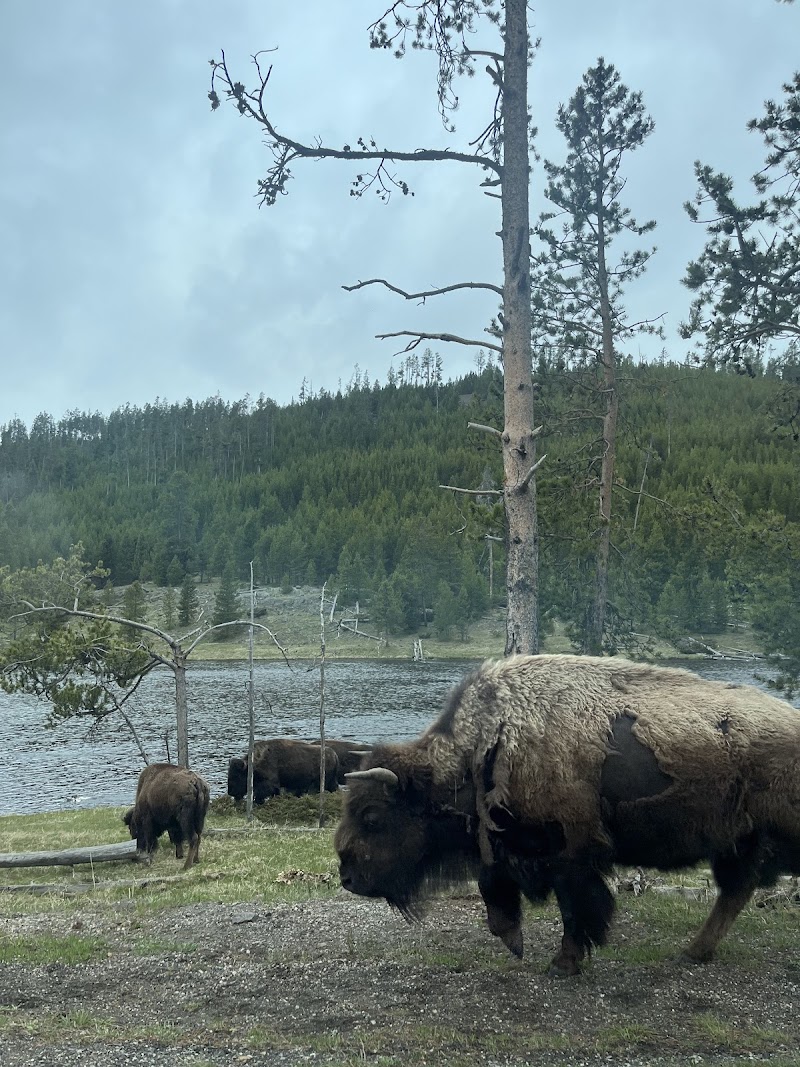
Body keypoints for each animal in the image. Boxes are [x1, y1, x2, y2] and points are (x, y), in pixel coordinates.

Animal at [335, 654, 800, 976]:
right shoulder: (506, 844)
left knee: (735, 891)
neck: (487, 746)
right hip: (738, 842)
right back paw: (692, 953)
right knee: (735, 892)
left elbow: (578, 909)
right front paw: (516, 942)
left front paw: (562, 964)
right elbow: (494, 889)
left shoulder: (570, 854)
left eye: (372, 815)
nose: (348, 876)